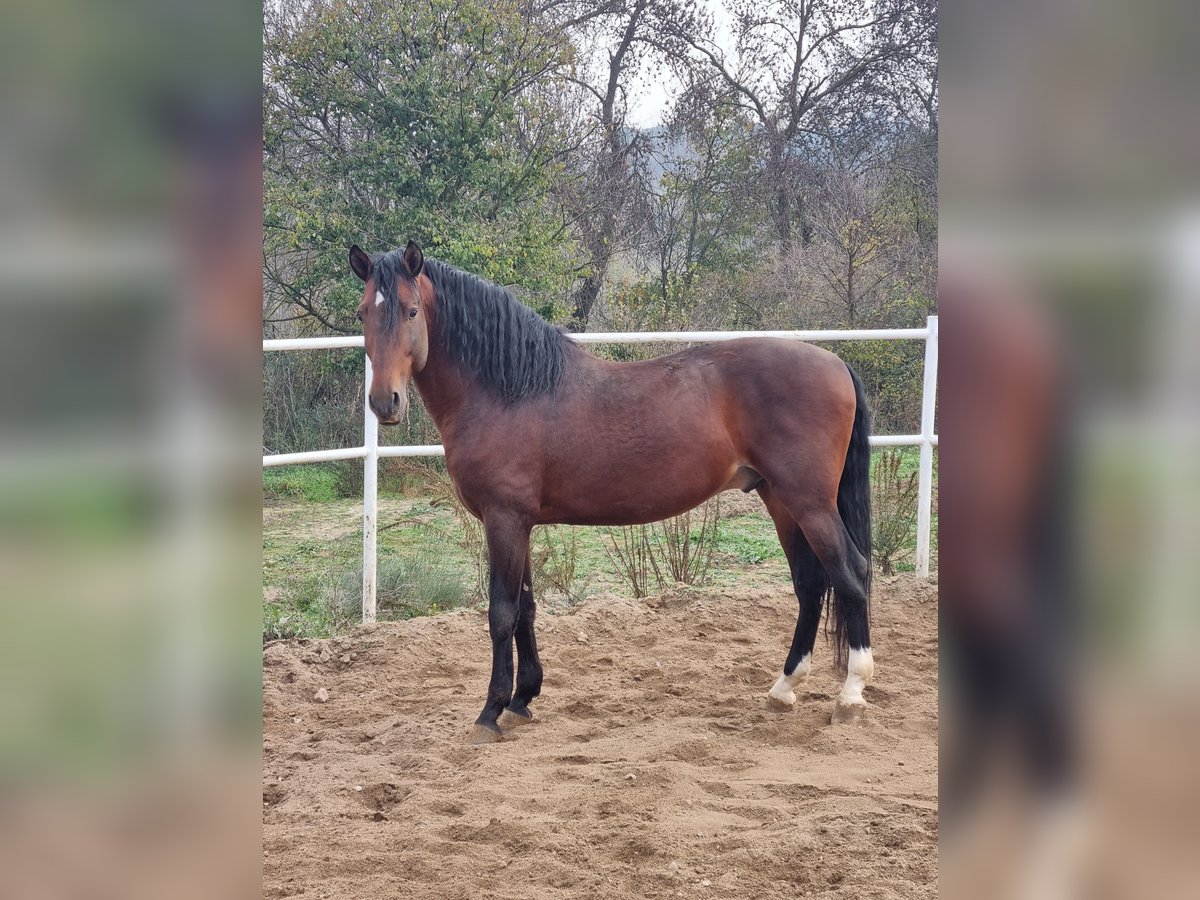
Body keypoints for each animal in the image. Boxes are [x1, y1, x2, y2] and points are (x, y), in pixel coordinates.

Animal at [350, 241, 878, 748]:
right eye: (361, 314)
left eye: (411, 311)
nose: (384, 403)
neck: (508, 392)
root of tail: (837, 363)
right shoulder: (519, 524)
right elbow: (526, 609)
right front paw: (523, 699)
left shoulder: (504, 520)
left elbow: (501, 613)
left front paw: (490, 712)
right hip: (780, 500)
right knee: (810, 584)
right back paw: (784, 688)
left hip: (809, 503)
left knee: (851, 574)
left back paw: (851, 696)